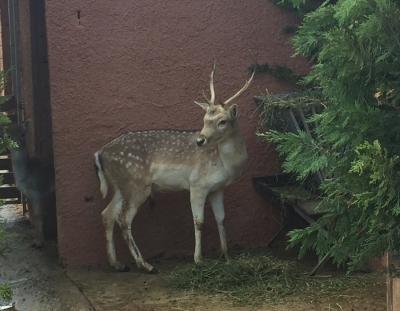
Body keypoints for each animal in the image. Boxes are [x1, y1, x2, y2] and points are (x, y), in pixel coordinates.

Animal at [6, 120, 55, 249]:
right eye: (9, 135)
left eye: (22, 134)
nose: (16, 143)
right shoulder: (30, 194)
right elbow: (33, 215)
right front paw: (35, 241)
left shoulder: (41, 191)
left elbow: (39, 215)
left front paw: (40, 243)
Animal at [94, 63, 253, 272]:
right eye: (204, 119)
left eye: (222, 121)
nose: (200, 140)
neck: (227, 165)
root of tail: (99, 154)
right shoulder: (198, 184)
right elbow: (199, 222)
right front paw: (198, 259)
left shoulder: (217, 189)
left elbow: (221, 219)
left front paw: (227, 257)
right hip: (136, 185)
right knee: (123, 218)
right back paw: (145, 265)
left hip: (121, 186)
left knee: (107, 214)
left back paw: (117, 264)